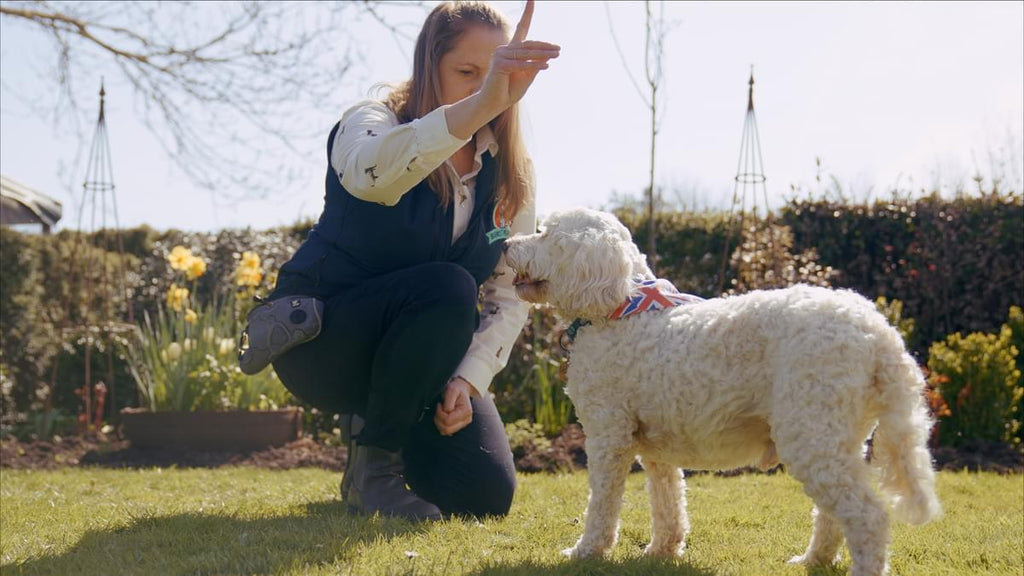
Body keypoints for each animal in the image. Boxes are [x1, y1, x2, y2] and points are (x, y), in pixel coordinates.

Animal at [503, 207, 942, 573]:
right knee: (834, 515)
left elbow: (602, 505)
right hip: (837, 439)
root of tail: (877, 330)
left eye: (545, 233)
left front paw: (586, 551)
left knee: (868, 517)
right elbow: (668, 502)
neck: (619, 310)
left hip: (811, 434)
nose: (505, 244)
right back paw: (812, 560)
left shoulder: (608, 437)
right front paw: (662, 551)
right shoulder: (656, 448)